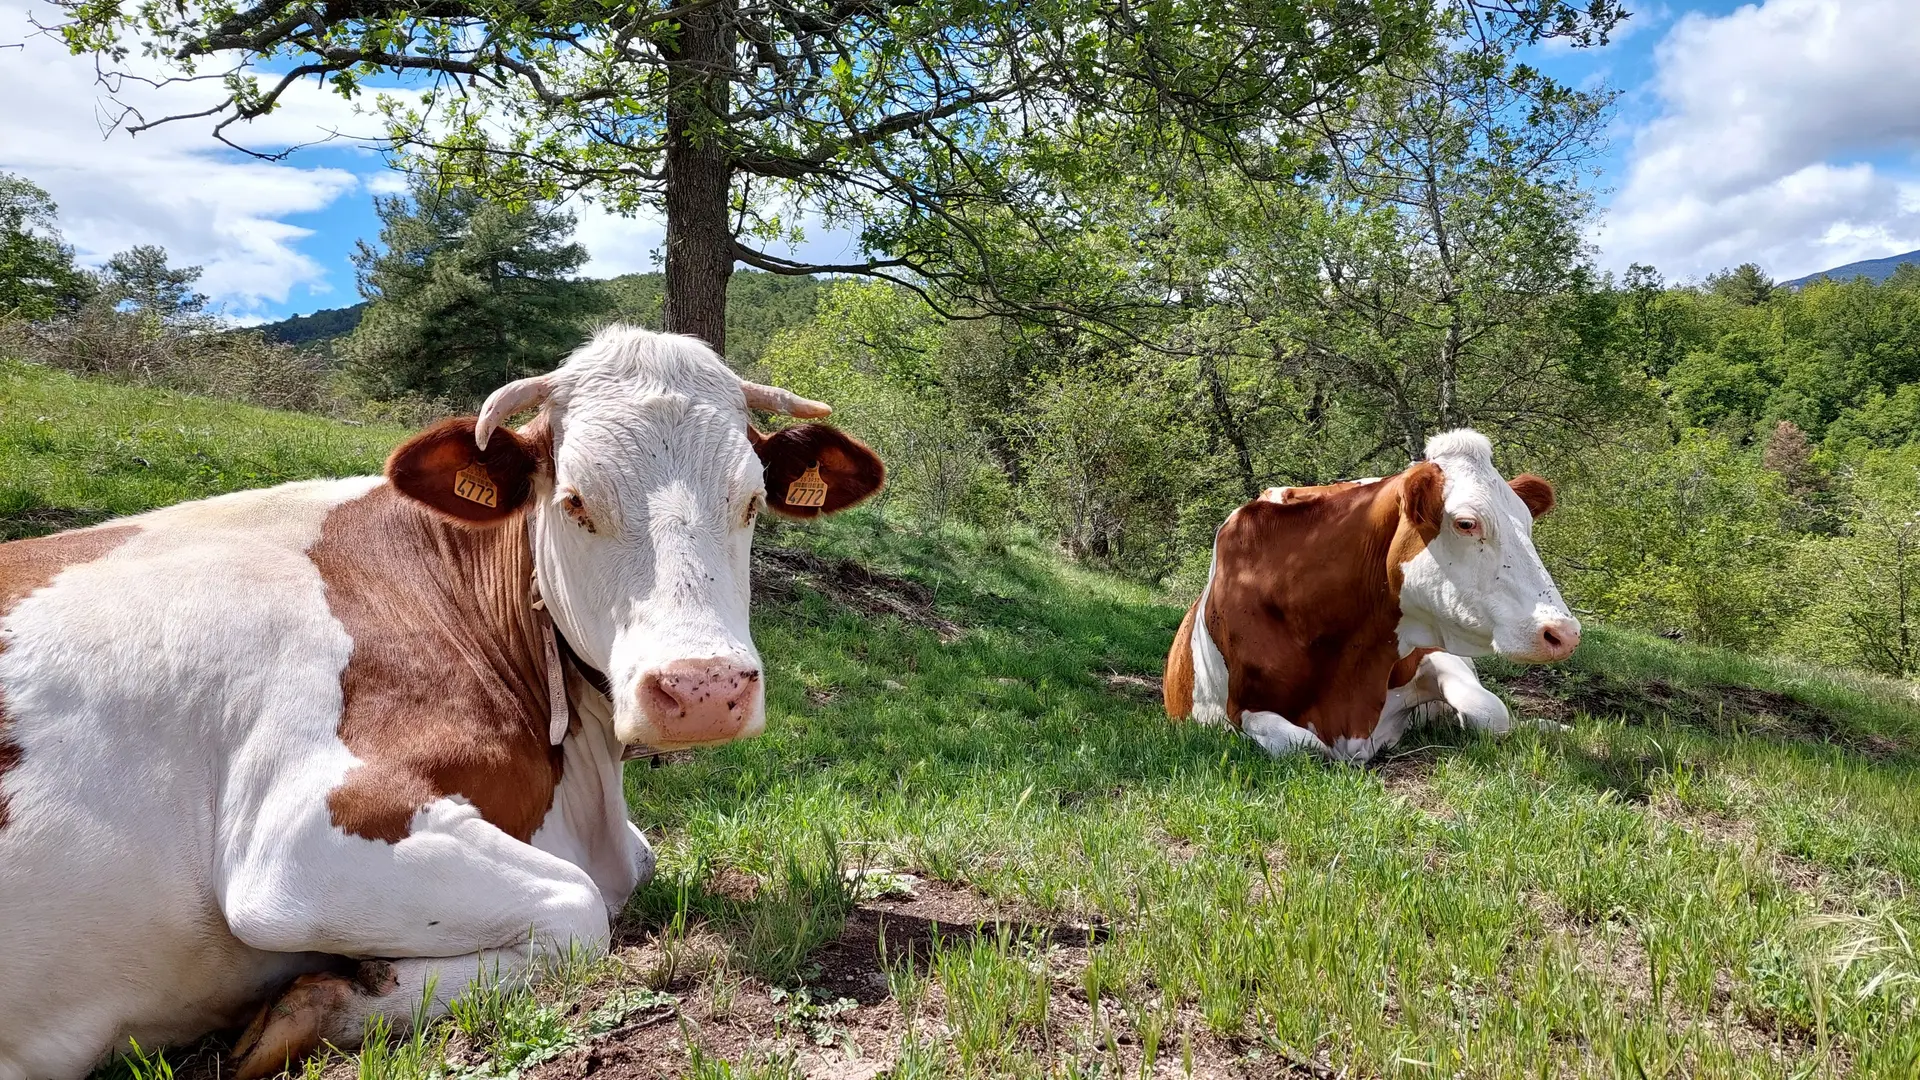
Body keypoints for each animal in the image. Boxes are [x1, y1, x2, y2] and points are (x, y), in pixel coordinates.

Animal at [0, 326, 885, 1080]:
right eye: (574, 501)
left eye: (751, 502)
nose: (703, 688)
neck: (582, 789)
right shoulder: (299, 843)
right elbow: (579, 912)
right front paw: (322, 1003)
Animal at [1162, 430, 1577, 763]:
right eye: (1466, 523)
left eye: (1527, 523)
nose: (1565, 633)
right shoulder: (1242, 708)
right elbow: (1305, 745)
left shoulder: (1431, 651)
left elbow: (1491, 711)